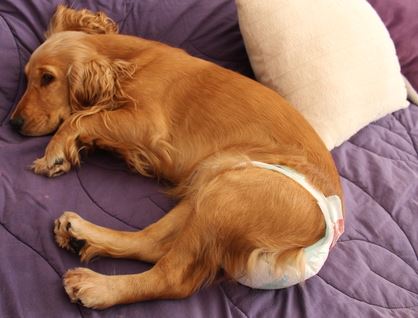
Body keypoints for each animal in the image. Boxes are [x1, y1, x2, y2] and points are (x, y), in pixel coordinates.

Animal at [9, 4, 342, 308]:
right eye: (26, 77)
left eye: (47, 78)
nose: (13, 123)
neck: (127, 60)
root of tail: (327, 237)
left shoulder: (146, 125)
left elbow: (82, 118)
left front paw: (54, 153)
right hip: (210, 183)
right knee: (151, 243)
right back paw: (81, 234)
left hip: (230, 194)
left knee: (171, 277)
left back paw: (97, 287)